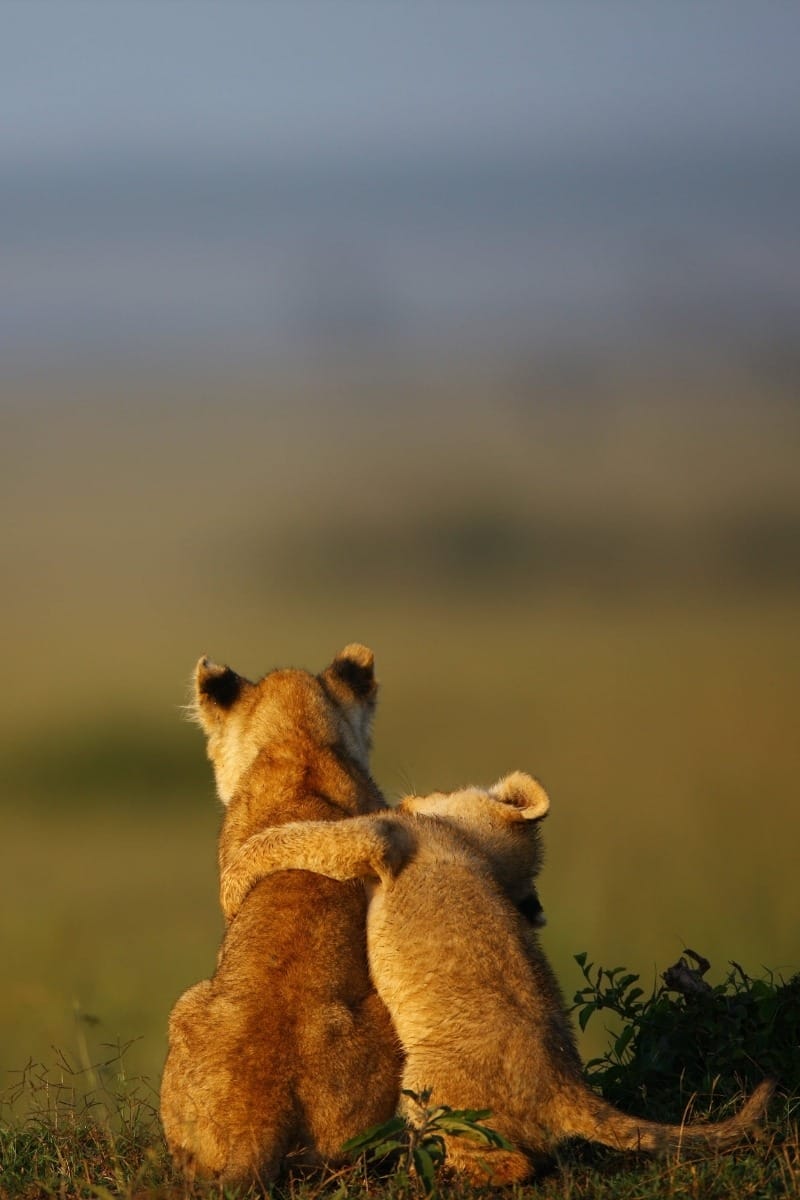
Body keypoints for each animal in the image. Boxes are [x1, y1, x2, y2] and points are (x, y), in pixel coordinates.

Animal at [221, 773, 774, 1185]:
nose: (414, 793)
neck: (475, 849)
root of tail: (564, 1086)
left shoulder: (388, 837)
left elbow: (302, 836)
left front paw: (236, 874)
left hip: (427, 1078)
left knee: (510, 1165)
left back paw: (432, 1175)